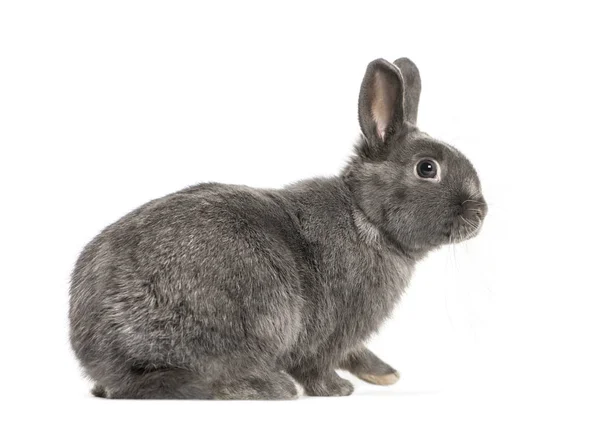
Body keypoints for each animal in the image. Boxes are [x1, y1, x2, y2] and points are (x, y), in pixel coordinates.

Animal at [69, 58, 488, 400]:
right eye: (427, 168)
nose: (481, 211)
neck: (366, 217)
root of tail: (101, 353)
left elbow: (356, 354)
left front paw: (385, 375)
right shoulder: (331, 332)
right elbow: (318, 365)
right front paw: (339, 390)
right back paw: (272, 388)